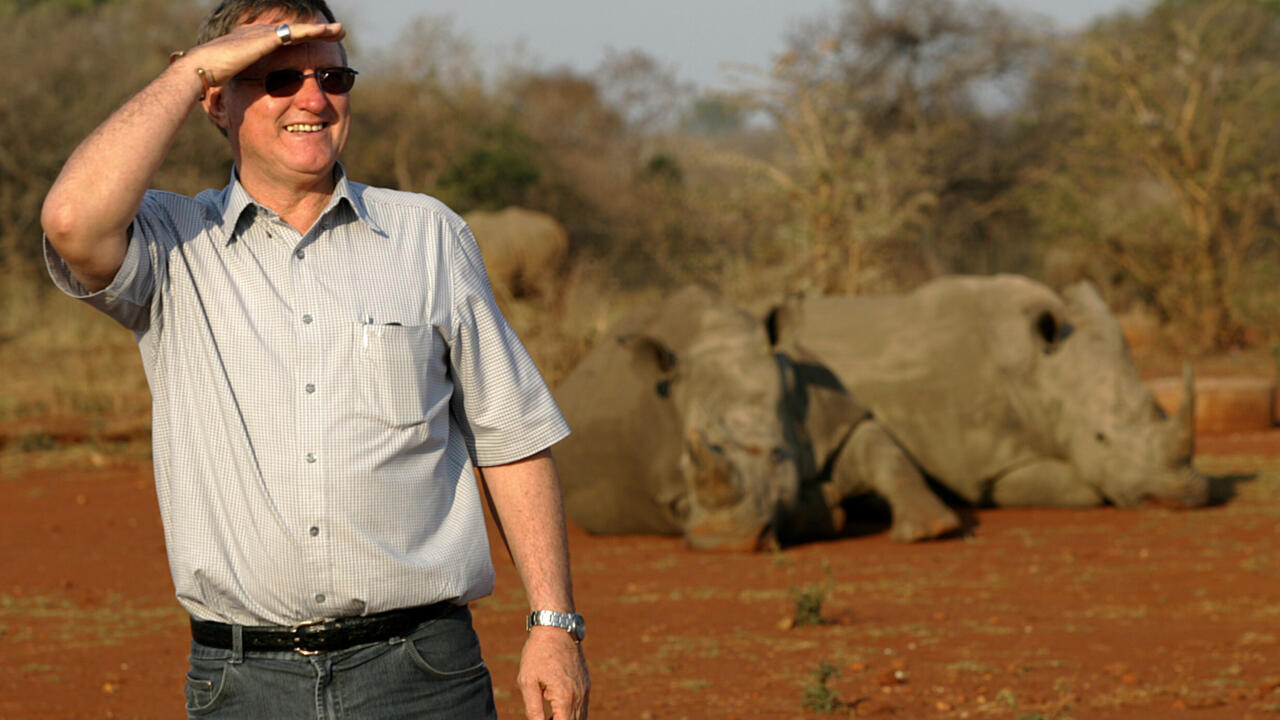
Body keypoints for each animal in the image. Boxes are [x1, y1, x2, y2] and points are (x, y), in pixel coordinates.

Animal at [778, 274, 1207, 528]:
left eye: (1159, 408)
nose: (1181, 498)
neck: (1040, 373)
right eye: (1101, 438)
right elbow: (1081, 487)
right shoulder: (981, 467)